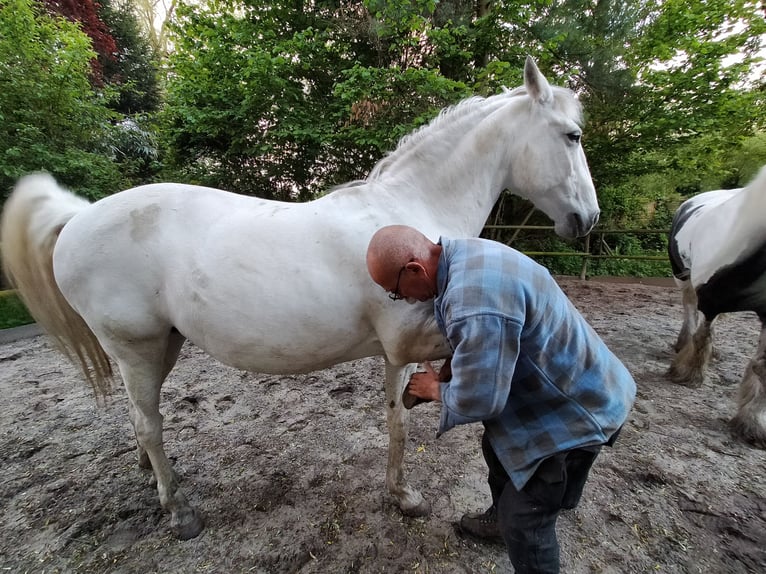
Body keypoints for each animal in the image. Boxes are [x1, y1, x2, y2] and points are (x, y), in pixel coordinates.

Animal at [0, 57, 600, 540]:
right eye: (571, 135)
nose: (588, 219)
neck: (412, 215)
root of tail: (79, 216)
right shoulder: (405, 345)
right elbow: (410, 415)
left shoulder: (398, 354)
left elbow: (396, 418)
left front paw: (400, 494)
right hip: (137, 348)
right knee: (149, 424)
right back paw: (179, 512)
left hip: (160, 348)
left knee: (139, 418)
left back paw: (154, 479)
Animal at [664, 164, 766, 448]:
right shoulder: (709, 299)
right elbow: (701, 338)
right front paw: (687, 374)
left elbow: (762, 366)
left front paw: (753, 423)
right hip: (683, 277)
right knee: (689, 309)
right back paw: (683, 344)